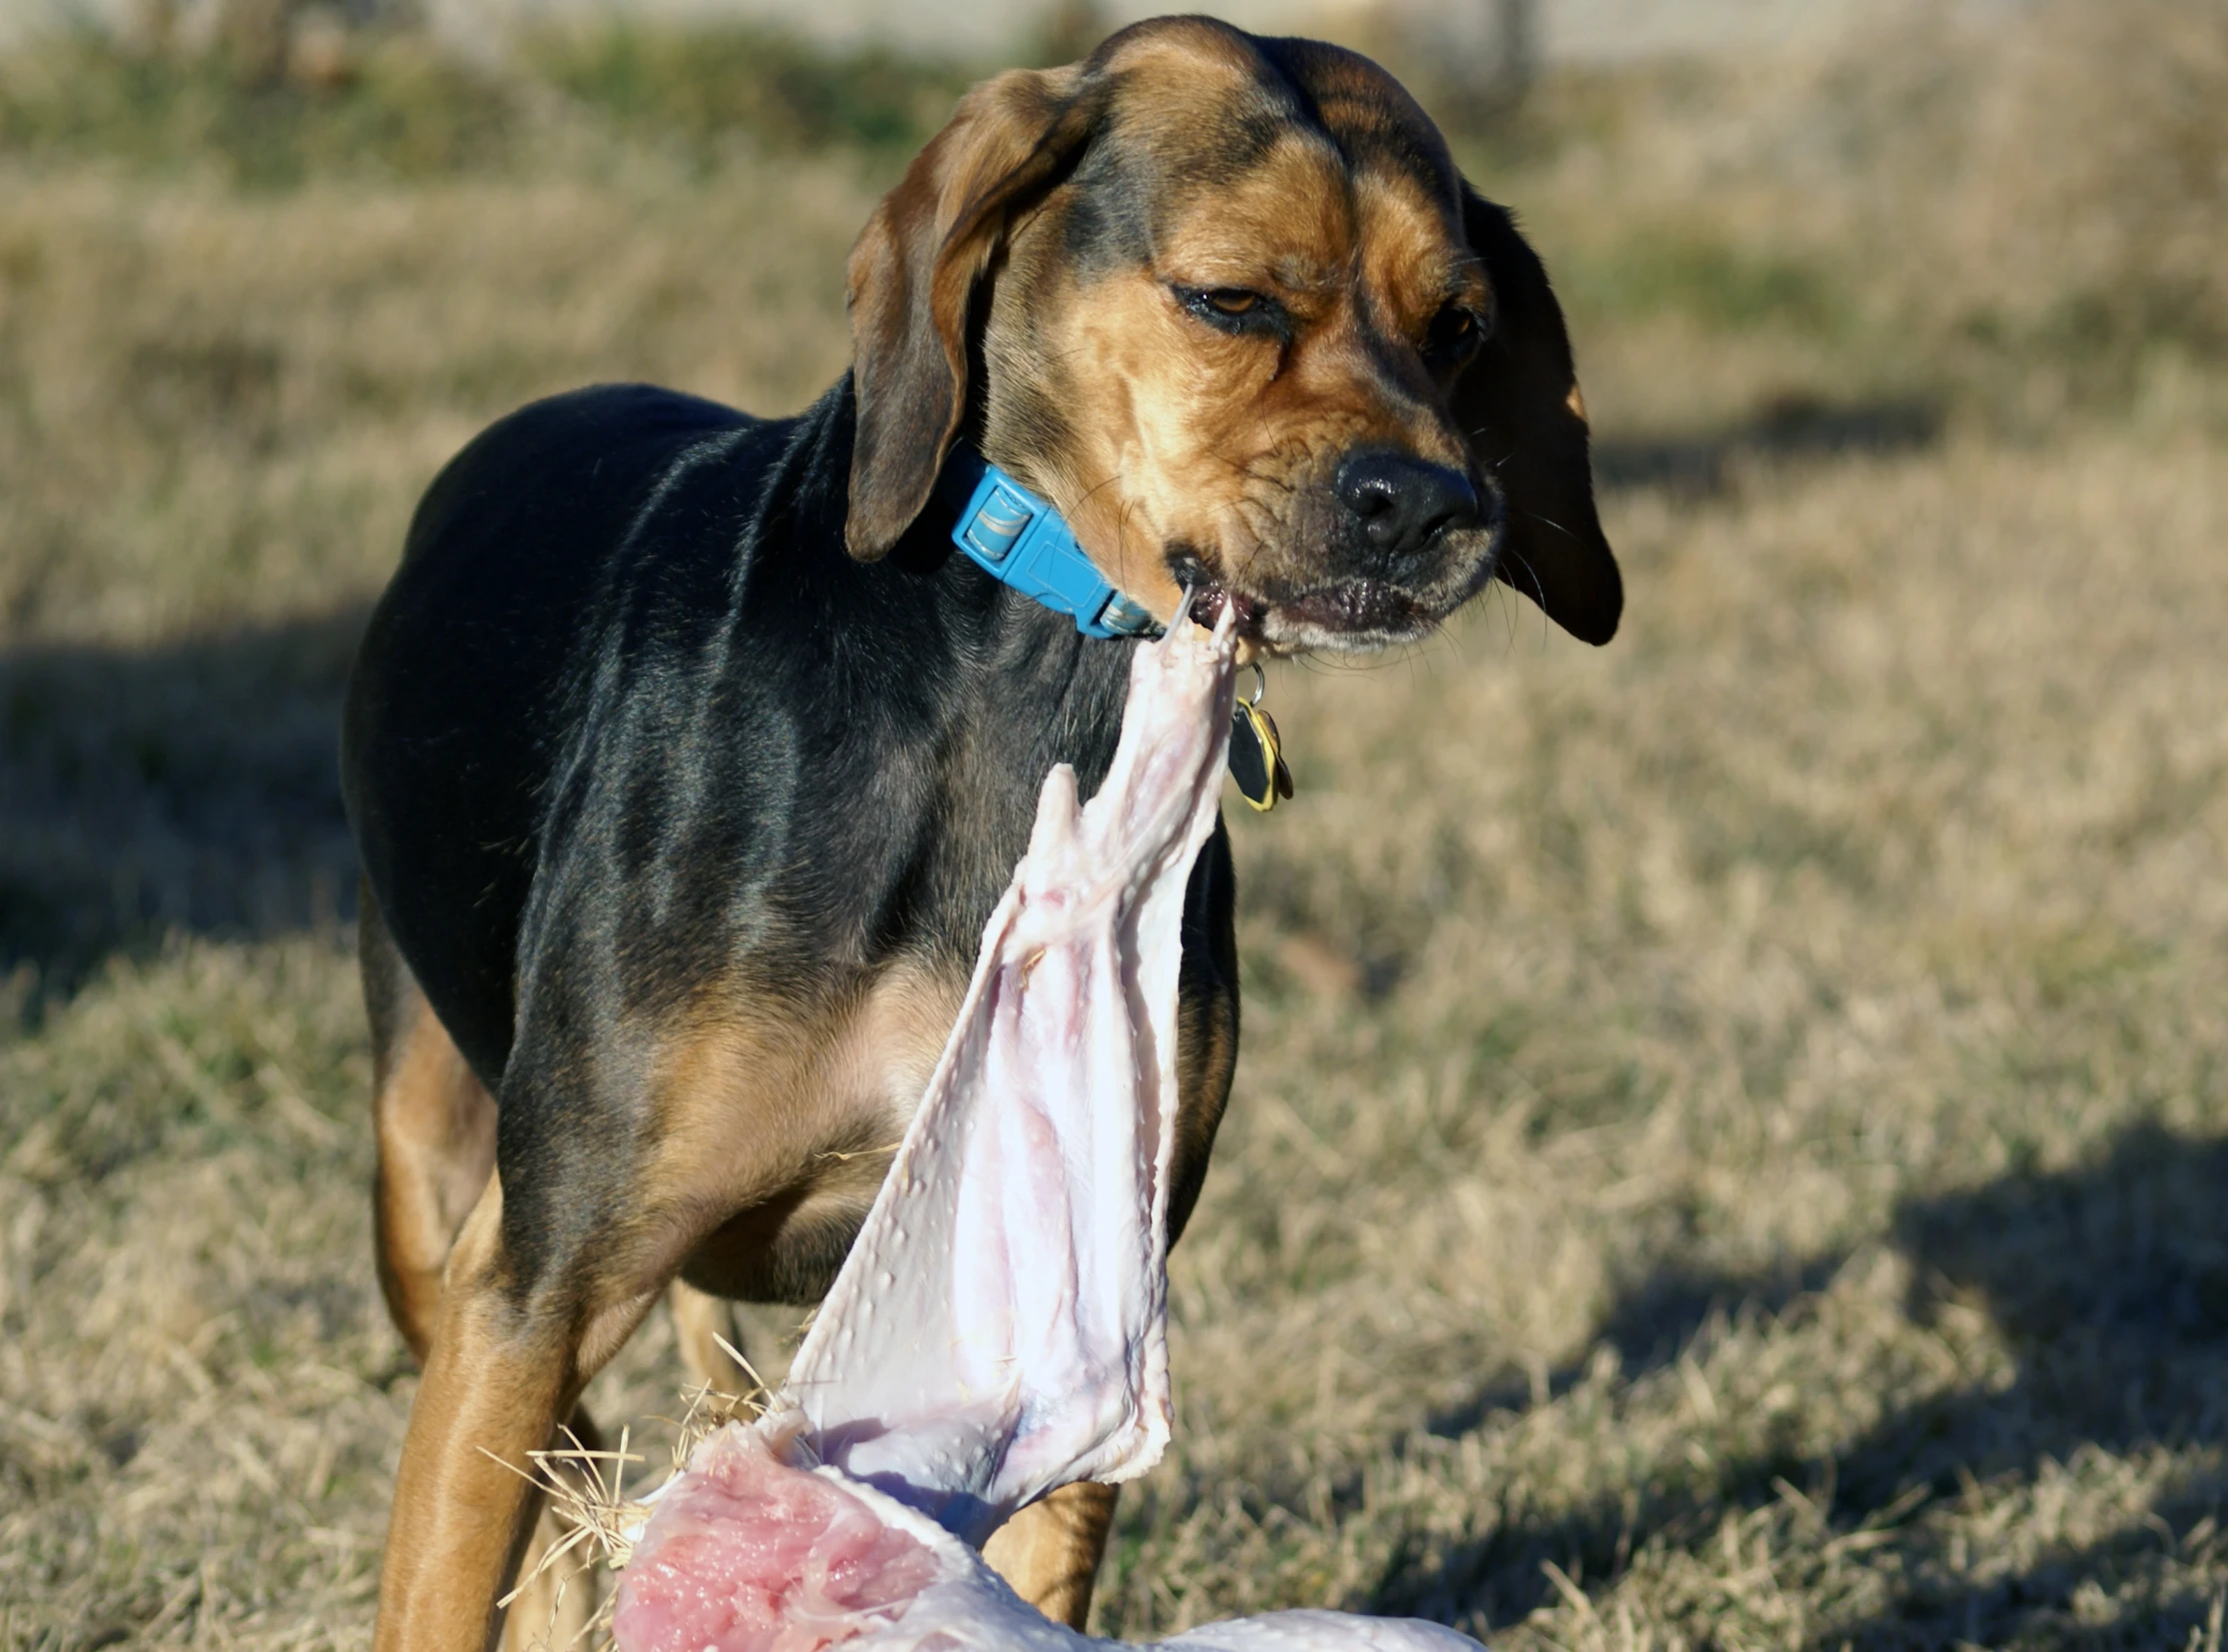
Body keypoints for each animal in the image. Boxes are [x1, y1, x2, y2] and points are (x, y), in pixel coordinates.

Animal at [334, 16, 1621, 1652]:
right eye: (1231, 299)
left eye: (1458, 326)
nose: (1435, 507)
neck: (1029, 684)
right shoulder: (538, 1280)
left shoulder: (1075, 1318)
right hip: (431, 1188)